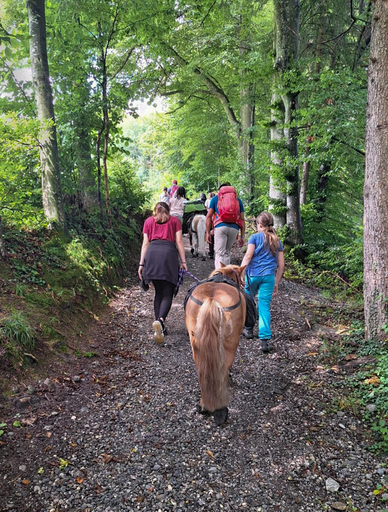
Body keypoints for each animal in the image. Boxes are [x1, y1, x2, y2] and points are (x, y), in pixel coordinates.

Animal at [184, 264, 246, 424]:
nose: (244, 284)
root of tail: (211, 299)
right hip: (230, 345)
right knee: (223, 369)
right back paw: (221, 410)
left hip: (196, 345)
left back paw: (204, 405)